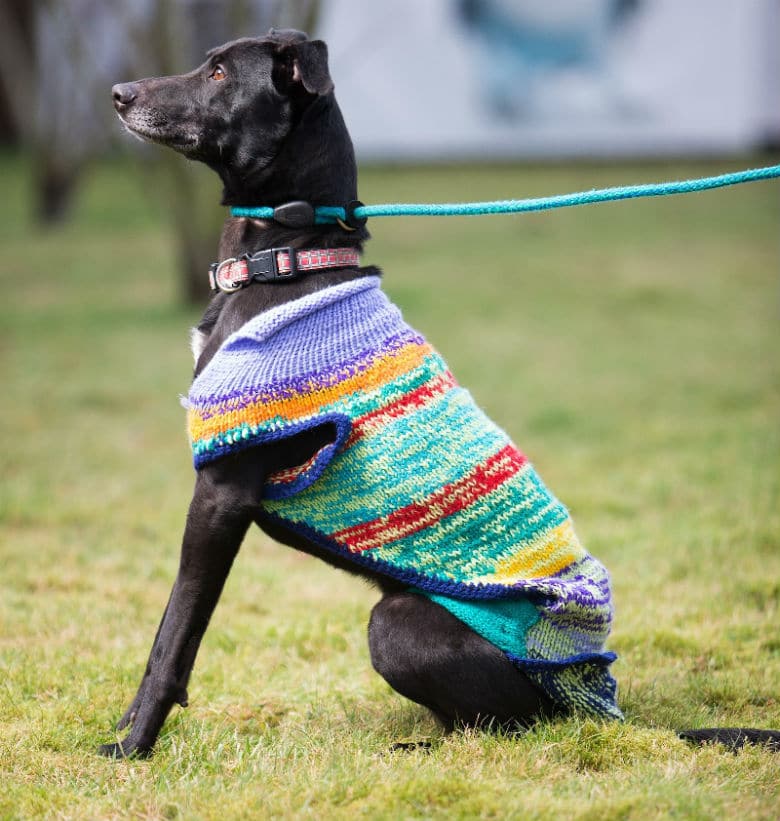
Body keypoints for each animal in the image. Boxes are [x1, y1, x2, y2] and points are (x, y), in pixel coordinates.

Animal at [106, 28, 776, 760]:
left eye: (221, 72)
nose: (118, 94)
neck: (286, 258)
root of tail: (597, 706)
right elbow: (169, 633)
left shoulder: (221, 494)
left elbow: (175, 633)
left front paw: (132, 747)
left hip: (396, 622)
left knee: (508, 728)